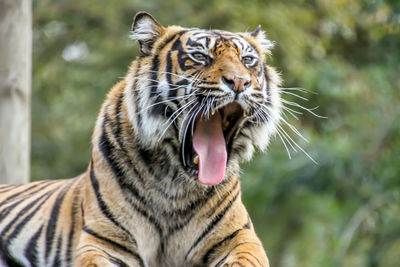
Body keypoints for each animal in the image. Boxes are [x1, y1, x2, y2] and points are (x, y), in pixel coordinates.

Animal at [0, 11, 282, 267]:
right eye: (201, 57)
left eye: (248, 60)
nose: (240, 82)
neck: (175, 185)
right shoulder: (106, 241)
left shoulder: (239, 237)